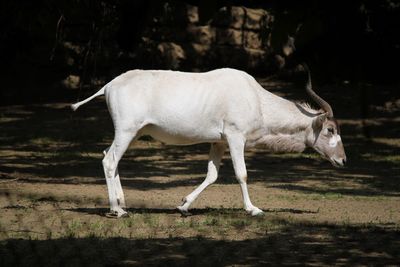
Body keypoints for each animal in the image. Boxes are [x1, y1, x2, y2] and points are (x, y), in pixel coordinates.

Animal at [72, 66, 346, 218]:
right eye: (330, 129)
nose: (343, 160)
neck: (256, 98)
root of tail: (110, 85)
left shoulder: (219, 143)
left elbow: (212, 175)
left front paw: (183, 206)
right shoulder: (236, 137)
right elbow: (242, 173)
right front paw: (253, 209)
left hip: (134, 133)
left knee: (110, 157)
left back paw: (122, 204)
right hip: (127, 130)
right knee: (109, 160)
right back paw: (116, 210)